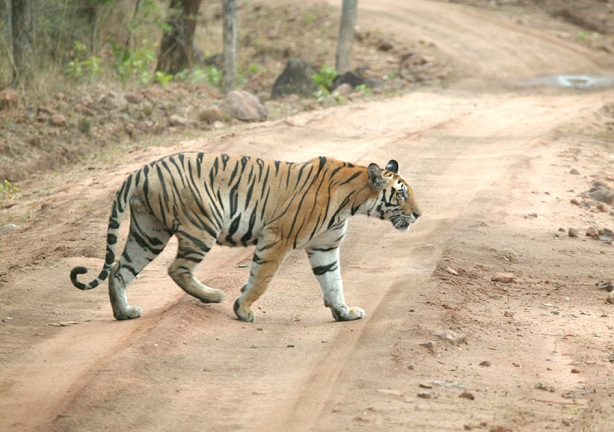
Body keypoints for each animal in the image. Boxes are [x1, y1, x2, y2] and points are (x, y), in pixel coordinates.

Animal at [70, 154, 422, 322]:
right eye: (402, 194)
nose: (419, 215)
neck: (354, 201)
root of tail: (141, 170)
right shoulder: (278, 238)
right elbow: (261, 279)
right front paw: (243, 309)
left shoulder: (325, 247)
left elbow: (334, 282)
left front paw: (344, 313)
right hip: (202, 224)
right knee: (176, 268)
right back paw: (213, 296)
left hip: (148, 232)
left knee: (119, 270)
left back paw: (124, 312)